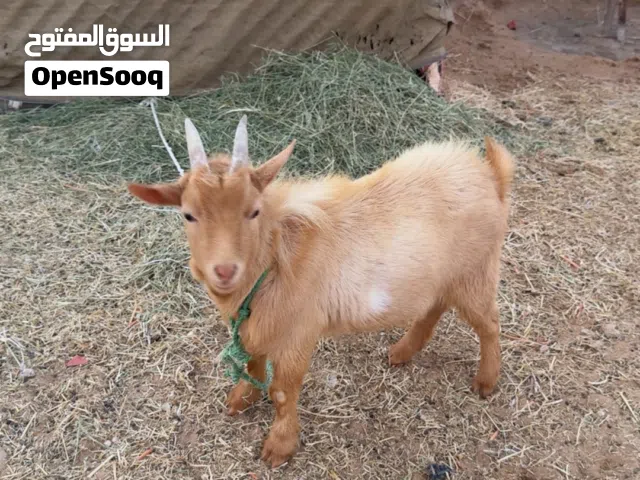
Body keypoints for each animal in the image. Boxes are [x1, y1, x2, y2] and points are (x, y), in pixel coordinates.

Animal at [127, 116, 515, 467]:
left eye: (254, 211)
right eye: (188, 215)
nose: (224, 271)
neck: (277, 255)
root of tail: (491, 175)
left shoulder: (299, 332)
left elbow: (283, 392)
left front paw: (279, 448)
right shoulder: (258, 323)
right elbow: (252, 360)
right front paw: (241, 399)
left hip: (476, 272)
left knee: (489, 325)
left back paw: (486, 381)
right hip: (443, 277)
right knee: (434, 307)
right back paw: (401, 352)